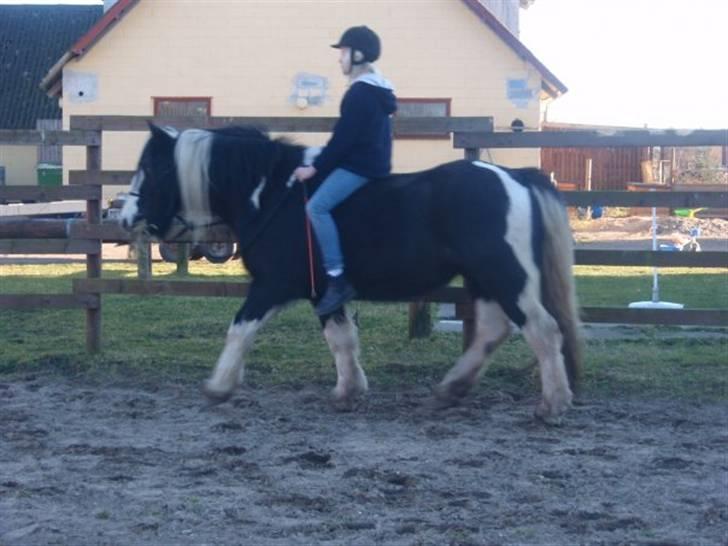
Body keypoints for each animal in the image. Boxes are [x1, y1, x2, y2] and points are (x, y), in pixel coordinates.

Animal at [122, 124, 584, 420]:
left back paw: (552, 405)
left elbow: (239, 330)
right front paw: (348, 392)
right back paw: (450, 390)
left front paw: (218, 387)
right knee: (493, 330)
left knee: (543, 330)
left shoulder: (272, 286)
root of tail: (514, 176)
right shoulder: (322, 291)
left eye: (154, 167)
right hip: (484, 279)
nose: (125, 216)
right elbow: (341, 340)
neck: (272, 194)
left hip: (506, 275)